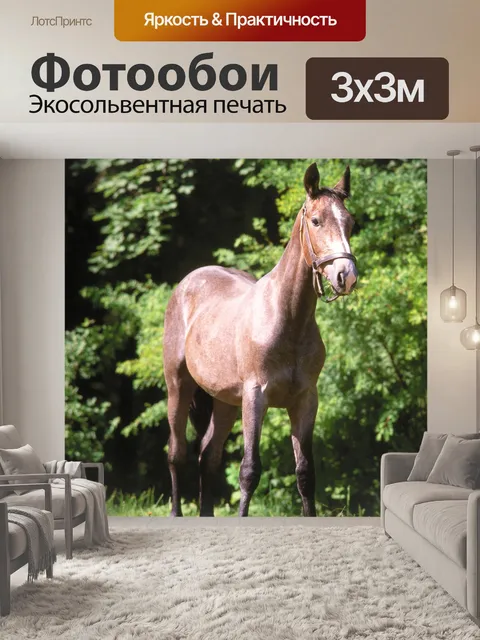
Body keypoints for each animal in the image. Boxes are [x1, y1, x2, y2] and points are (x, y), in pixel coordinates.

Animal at [163, 163, 358, 517]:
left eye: (351, 222)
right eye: (316, 220)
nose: (346, 276)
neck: (286, 320)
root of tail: (188, 282)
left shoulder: (305, 401)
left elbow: (305, 474)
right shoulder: (256, 397)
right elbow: (249, 470)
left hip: (225, 402)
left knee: (208, 455)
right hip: (179, 386)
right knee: (177, 452)